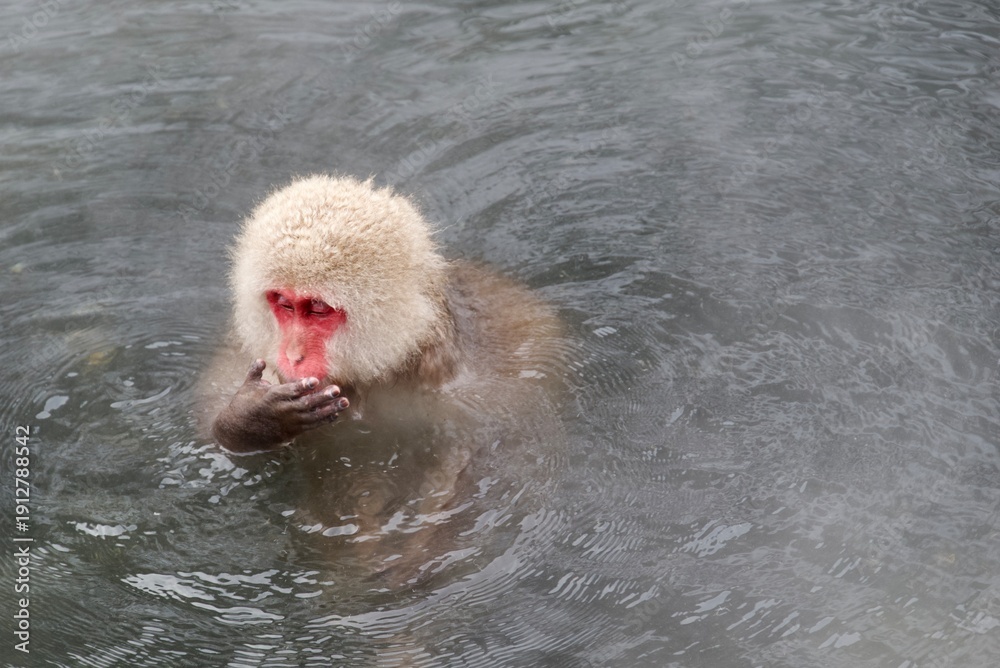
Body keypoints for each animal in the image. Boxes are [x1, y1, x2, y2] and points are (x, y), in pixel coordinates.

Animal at [198, 174, 563, 584]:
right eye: (285, 304)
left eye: (318, 309)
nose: (291, 355)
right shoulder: (240, 353)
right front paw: (259, 418)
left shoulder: (492, 394)